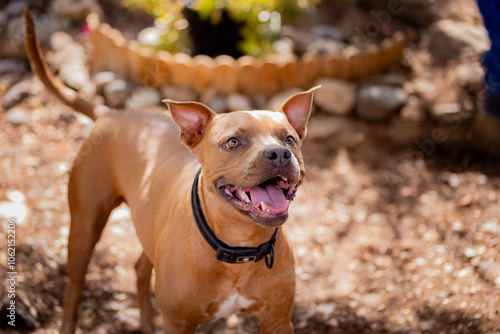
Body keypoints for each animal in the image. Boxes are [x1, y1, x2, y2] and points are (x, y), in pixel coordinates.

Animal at [23, 8, 318, 334]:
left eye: (289, 139)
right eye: (233, 142)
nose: (279, 154)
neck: (240, 248)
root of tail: (111, 113)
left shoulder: (278, 320)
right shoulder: (178, 323)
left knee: (140, 267)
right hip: (85, 225)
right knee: (74, 285)